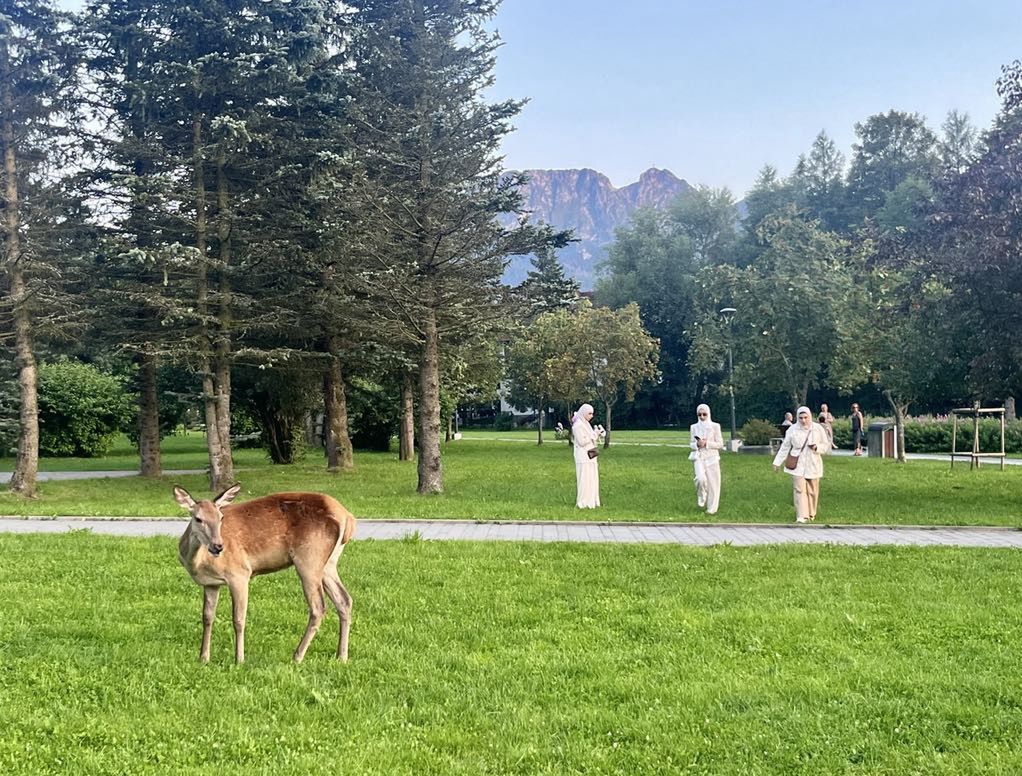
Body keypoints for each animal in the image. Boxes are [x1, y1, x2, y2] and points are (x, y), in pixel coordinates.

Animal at [172, 486, 355, 662]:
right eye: (198, 519)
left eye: (221, 517)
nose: (218, 546)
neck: (197, 562)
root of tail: (348, 518)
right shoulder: (211, 583)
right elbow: (207, 617)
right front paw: (203, 657)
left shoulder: (239, 573)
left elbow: (239, 619)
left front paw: (239, 659)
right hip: (329, 563)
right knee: (344, 599)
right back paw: (342, 656)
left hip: (310, 558)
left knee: (318, 607)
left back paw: (297, 656)